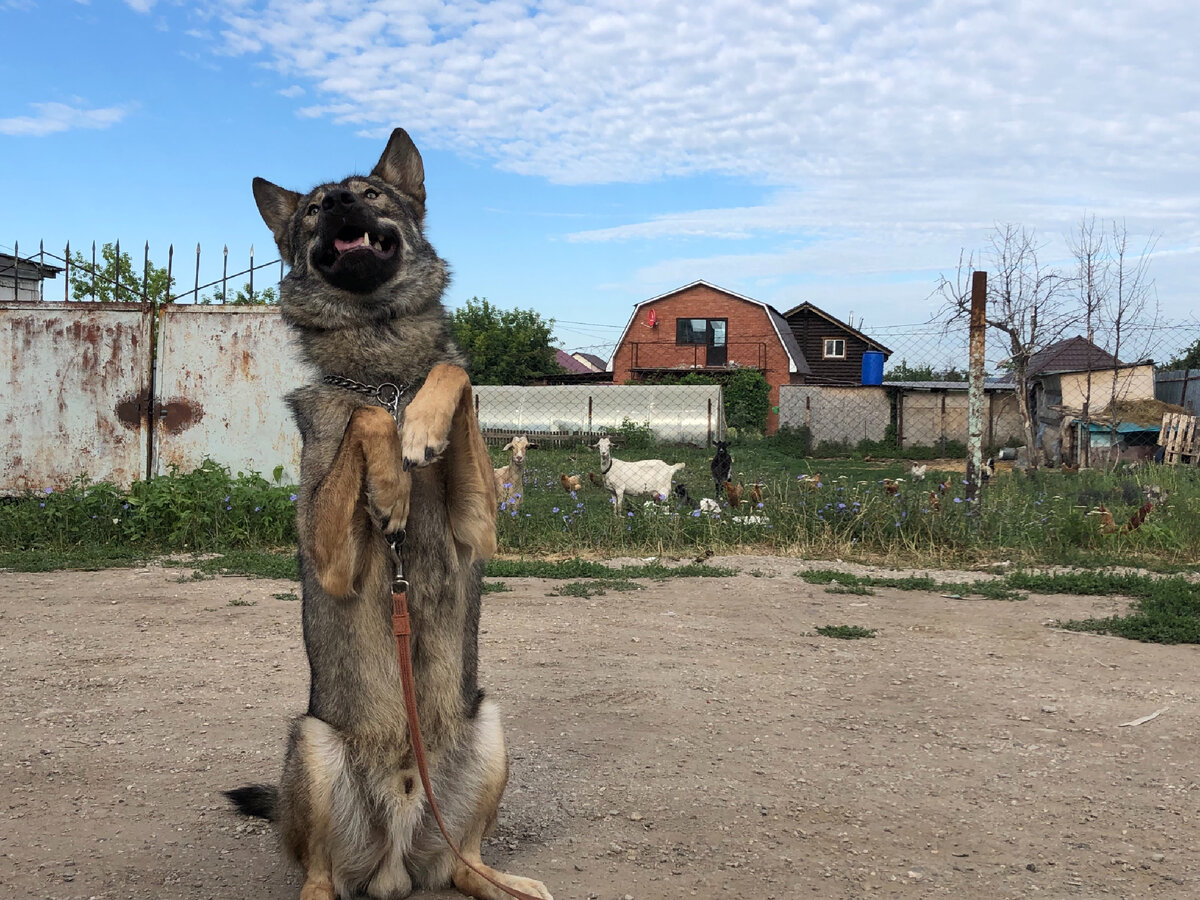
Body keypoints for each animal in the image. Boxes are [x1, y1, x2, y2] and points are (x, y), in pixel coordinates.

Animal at [225, 125, 552, 900]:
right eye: (315, 209)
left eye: (370, 193)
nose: (343, 204)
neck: (381, 361)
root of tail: (398, 847)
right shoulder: (329, 553)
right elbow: (362, 415)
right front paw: (390, 480)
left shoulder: (478, 524)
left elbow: (451, 372)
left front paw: (420, 432)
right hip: (313, 742)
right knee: (317, 873)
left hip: (487, 724)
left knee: (464, 862)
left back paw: (506, 882)